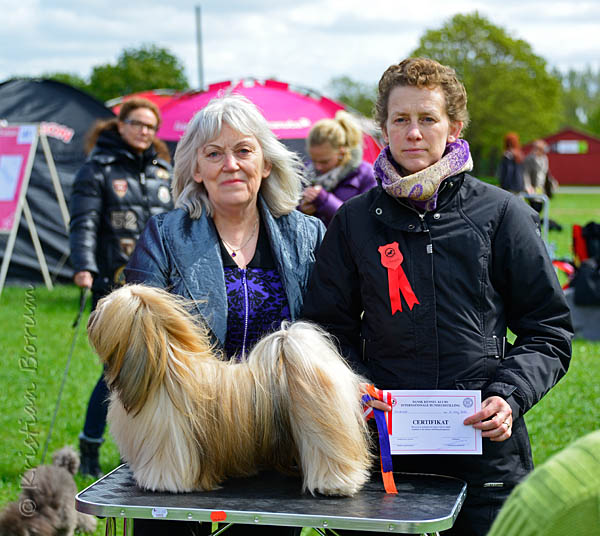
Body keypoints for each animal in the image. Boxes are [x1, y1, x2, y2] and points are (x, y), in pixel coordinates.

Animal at [87, 286, 372, 496]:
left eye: (105, 308)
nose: (92, 314)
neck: (163, 368)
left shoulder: (170, 441)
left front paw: (162, 483)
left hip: (322, 431)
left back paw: (335, 484)